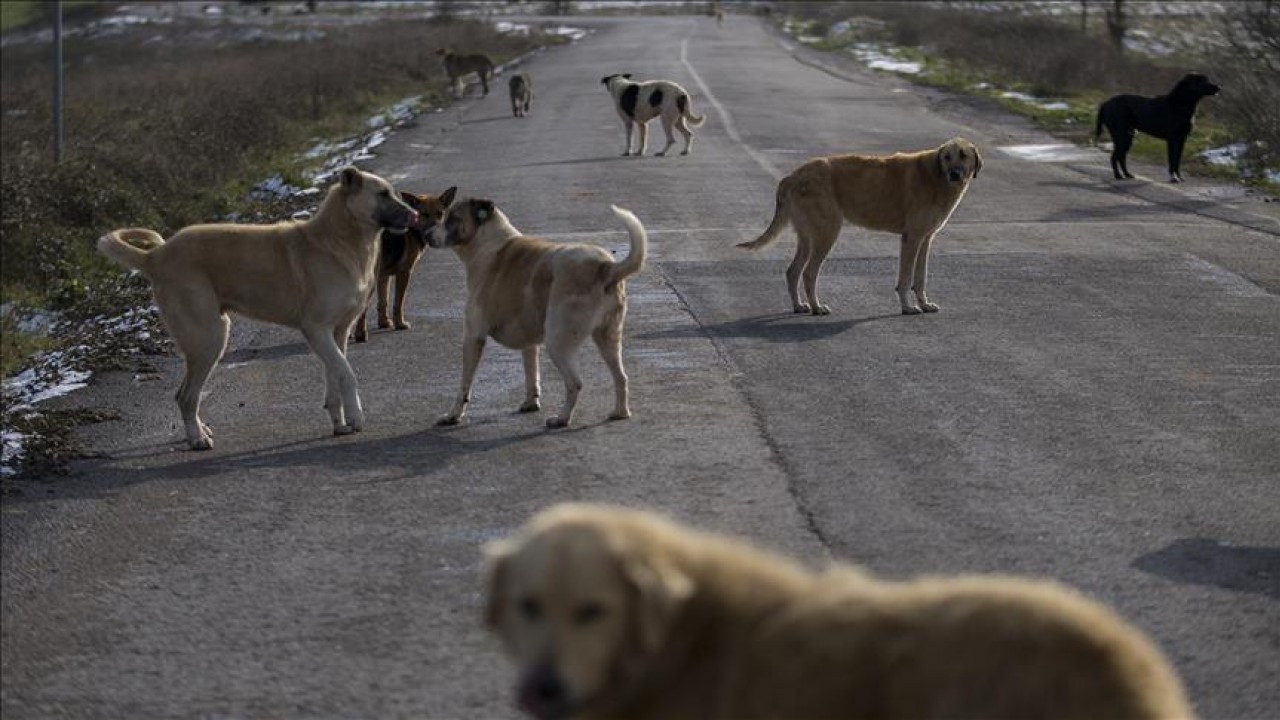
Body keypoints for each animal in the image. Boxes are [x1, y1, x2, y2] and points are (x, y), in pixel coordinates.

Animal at [99, 167, 419, 448]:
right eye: (382, 194)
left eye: (393, 192)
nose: (415, 215)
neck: (339, 239)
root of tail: (155, 256)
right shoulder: (316, 329)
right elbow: (347, 374)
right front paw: (356, 417)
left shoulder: (336, 333)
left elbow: (335, 376)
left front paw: (340, 423)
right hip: (209, 338)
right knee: (185, 396)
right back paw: (197, 439)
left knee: (188, 395)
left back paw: (200, 431)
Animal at [353, 184, 458, 340]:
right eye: (424, 214)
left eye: (440, 213)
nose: (434, 232)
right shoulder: (404, 272)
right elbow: (398, 303)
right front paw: (400, 324)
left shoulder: (384, 276)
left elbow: (383, 301)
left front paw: (384, 323)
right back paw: (360, 334)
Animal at [737, 137, 983, 313]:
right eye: (947, 157)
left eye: (963, 155)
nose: (954, 174)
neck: (935, 176)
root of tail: (792, 176)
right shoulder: (911, 239)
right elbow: (905, 279)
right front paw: (908, 307)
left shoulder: (925, 239)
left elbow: (920, 277)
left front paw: (924, 304)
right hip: (826, 233)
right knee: (808, 273)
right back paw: (817, 307)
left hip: (808, 237)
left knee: (793, 271)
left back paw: (799, 306)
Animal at [1090, 72, 1218, 181]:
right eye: (1202, 81)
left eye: (1207, 79)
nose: (1218, 87)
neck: (1180, 103)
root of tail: (1105, 103)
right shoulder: (1173, 139)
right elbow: (1172, 160)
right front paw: (1174, 178)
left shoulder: (1182, 139)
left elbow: (1177, 161)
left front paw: (1179, 177)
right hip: (1122, 136)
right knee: (1114, 157)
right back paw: (1118, 176)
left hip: (1128, 136)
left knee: (1121, 157)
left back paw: (1127, 174)